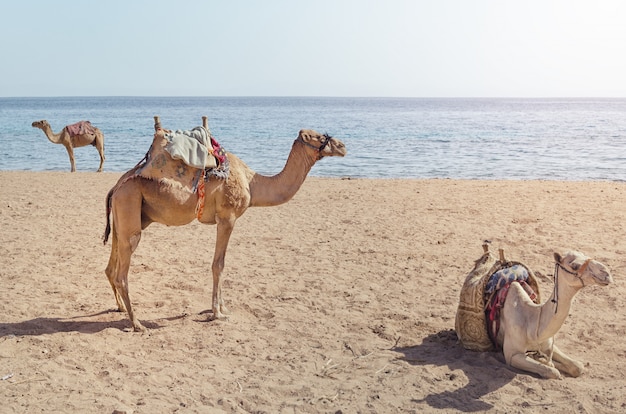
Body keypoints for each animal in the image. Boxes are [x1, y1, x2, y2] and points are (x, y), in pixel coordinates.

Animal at [103, 118, 346, 332]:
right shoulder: (227, 217)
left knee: (111, 265)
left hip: (125, 217)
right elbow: (218, 264)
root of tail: (116, 187)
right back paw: (137, 323)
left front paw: (223, 308)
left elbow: (221, 264)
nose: (342, 146)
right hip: (129, 207)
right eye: (319, 136)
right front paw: (218, 313)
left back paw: (121, 308)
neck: (252, 183)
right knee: (122, 272)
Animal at [492, 251, 608, 380]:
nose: (606, 273)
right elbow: (553, 371)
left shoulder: (548, 343)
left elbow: (578, 367)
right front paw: (541, 361)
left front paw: (541, 359)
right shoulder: (512, 355)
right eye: (574, 266)